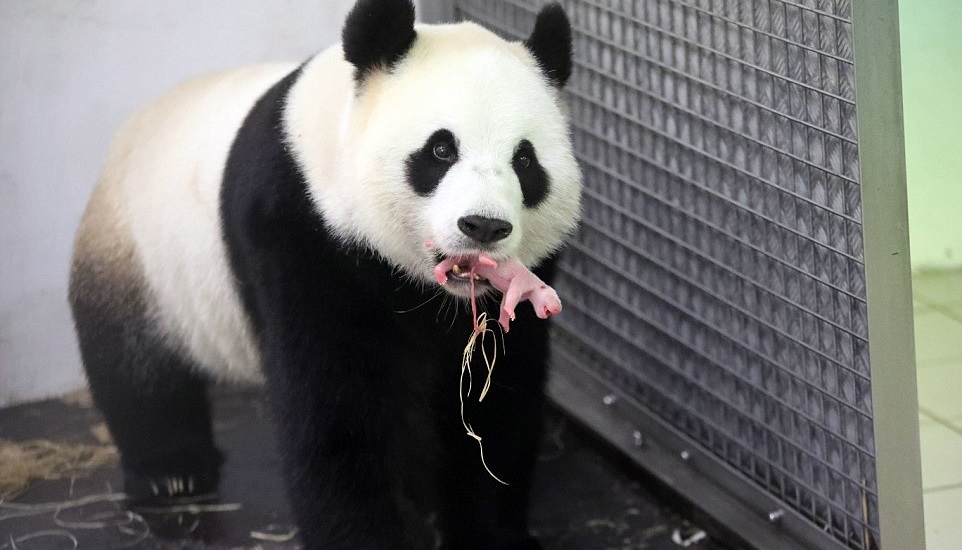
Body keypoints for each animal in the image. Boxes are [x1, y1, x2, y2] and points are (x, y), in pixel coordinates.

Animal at [69, 2, 576, 548]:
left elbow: (497, 403)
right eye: (441, 150)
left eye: (524, 160)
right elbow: (341, 414)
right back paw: (171, 473)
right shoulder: (302, 233)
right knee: (134, 367)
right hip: (138, 256)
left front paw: (493, 533)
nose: (483, 226)